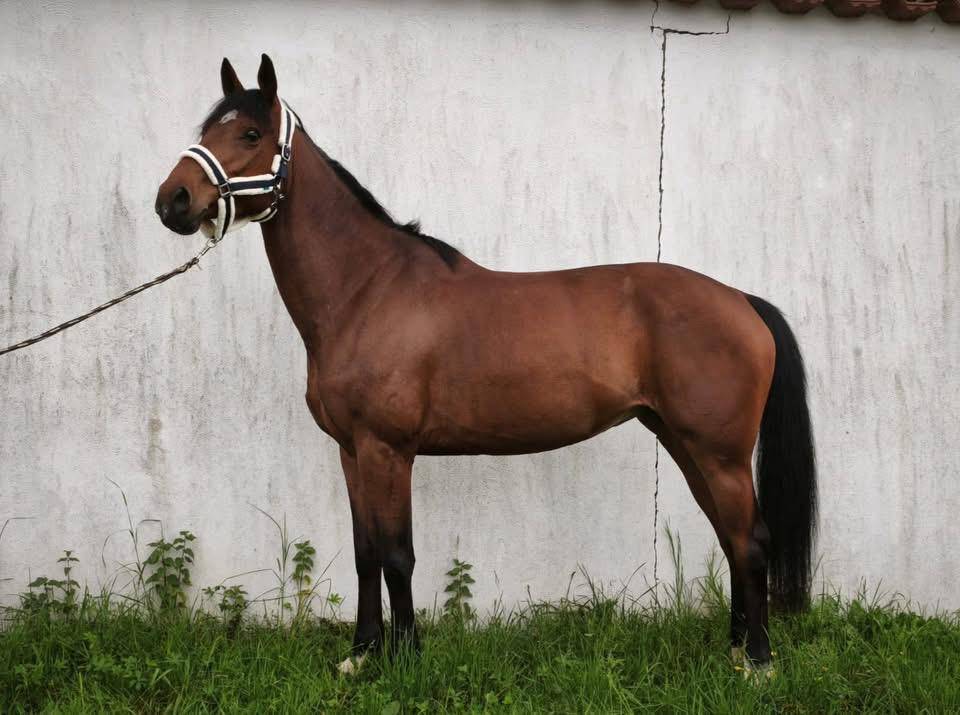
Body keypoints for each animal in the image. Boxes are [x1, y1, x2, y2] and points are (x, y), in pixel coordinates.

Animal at [155, 54, 816, 673]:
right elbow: (366, 552)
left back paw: (757, 662)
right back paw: (735, 648)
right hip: (685, 444)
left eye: (250, 134)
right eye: (207, 127)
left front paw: (406, 657)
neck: (367, 289)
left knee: (750, 541)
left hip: (718, 452)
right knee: (730, 538)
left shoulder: (387, 450)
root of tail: (741, 300)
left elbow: (397, 555)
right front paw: (361, 654)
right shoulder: (351, 451)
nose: (173, 201)